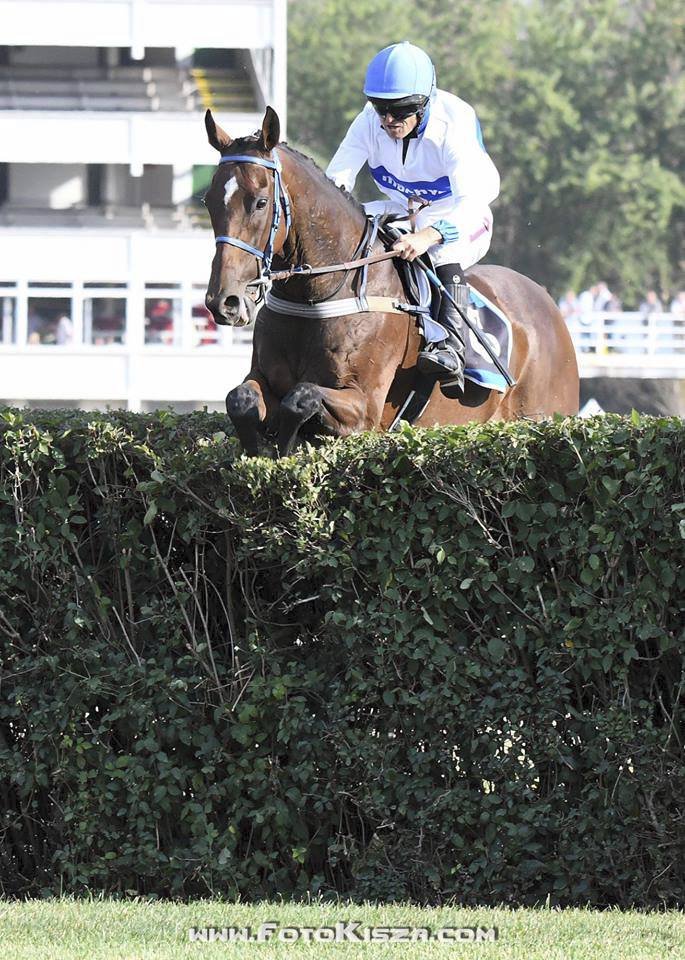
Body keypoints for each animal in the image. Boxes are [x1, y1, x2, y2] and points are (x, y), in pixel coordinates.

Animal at [202, 105, 576, 458]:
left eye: (261, 202)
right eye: (208, 201)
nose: (224, 302)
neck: (316, 294)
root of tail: (547, 302)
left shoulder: (365, 407)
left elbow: (300, 398)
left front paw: (285, 443)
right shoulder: (264, 377)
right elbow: (240, 399)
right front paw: (262, 448)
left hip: (545, 413)